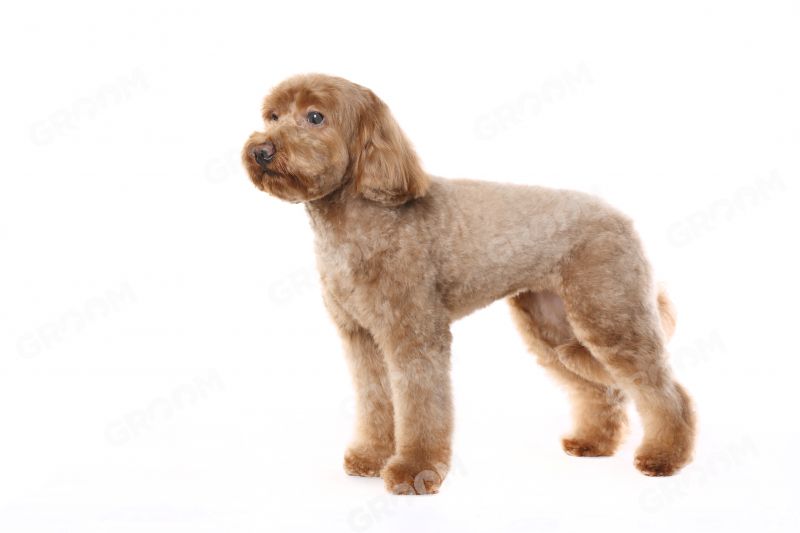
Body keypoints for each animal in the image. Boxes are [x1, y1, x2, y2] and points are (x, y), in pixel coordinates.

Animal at [242, 74, 696, 495]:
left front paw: (414, 472)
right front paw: (372, 456)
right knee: (604, 391)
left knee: (667, 392)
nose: (261, 150)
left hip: (609, 312)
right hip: (554, 327)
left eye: (315, 117)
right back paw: (594, 442)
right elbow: (375, 402)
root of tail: (620, 217)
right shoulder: (361, 337)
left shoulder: (415, 334)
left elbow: (421, 408)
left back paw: (665, 456)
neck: (366, 216)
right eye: (272, 116)